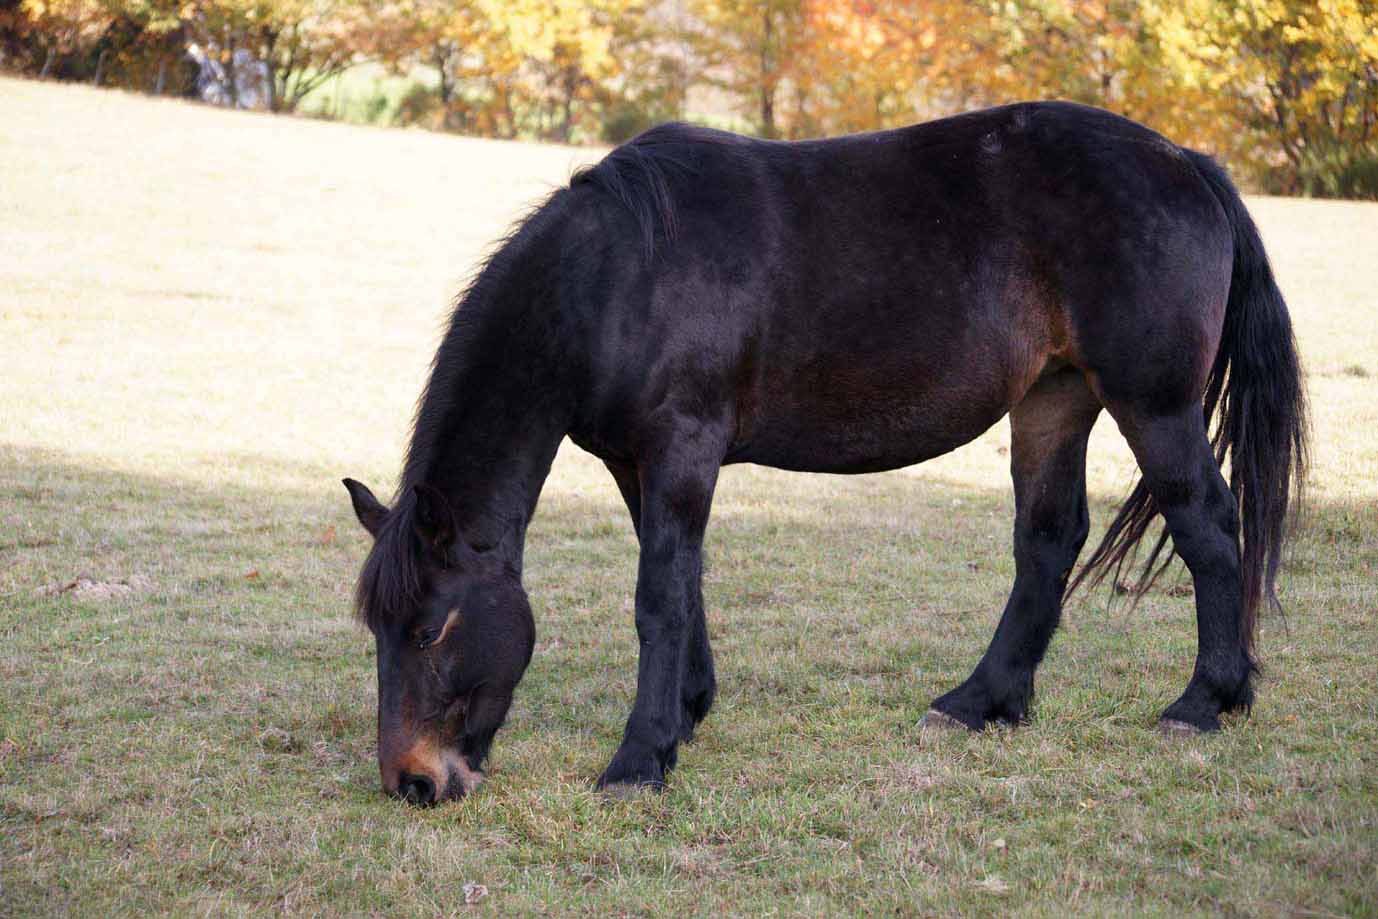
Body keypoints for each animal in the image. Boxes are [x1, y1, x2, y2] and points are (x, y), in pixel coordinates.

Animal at [341, 100, 1300, 804]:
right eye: (379, 629)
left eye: (428, 627)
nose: (412, 780)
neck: (623, 274)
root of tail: (1185, 161)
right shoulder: (634, 462)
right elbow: (683, 581)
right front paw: (686, 712)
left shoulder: (681, 449)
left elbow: (658, 595)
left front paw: (640, 758)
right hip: (1055, 398)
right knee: (1048, 540)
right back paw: (981, 701)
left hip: (1153, 406)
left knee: (1209, 527)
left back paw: (1204, 700)